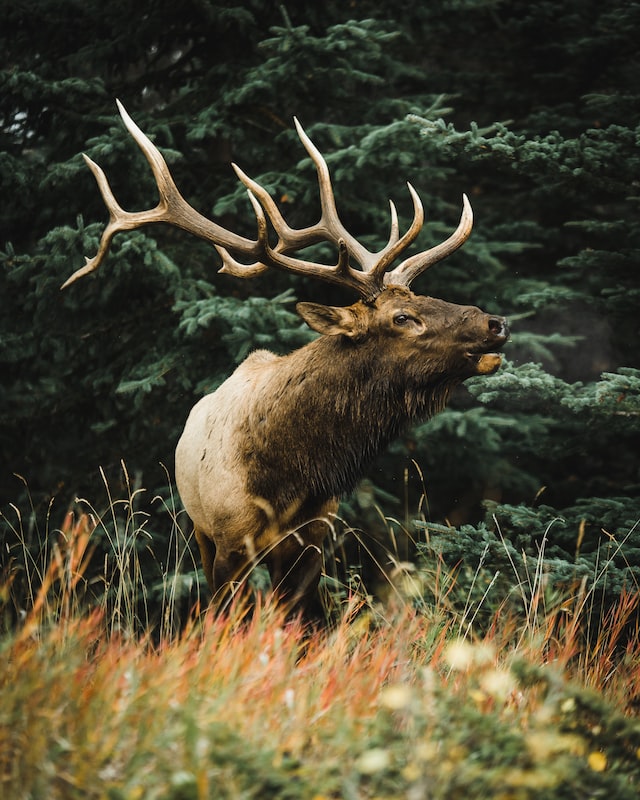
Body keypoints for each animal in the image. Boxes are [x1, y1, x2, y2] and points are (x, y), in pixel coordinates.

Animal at [63, 101, 509, 620]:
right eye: (402, 317)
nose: (496, 323)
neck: (289, 477)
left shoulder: (313, 540)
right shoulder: (229, 539)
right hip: (198, 529)